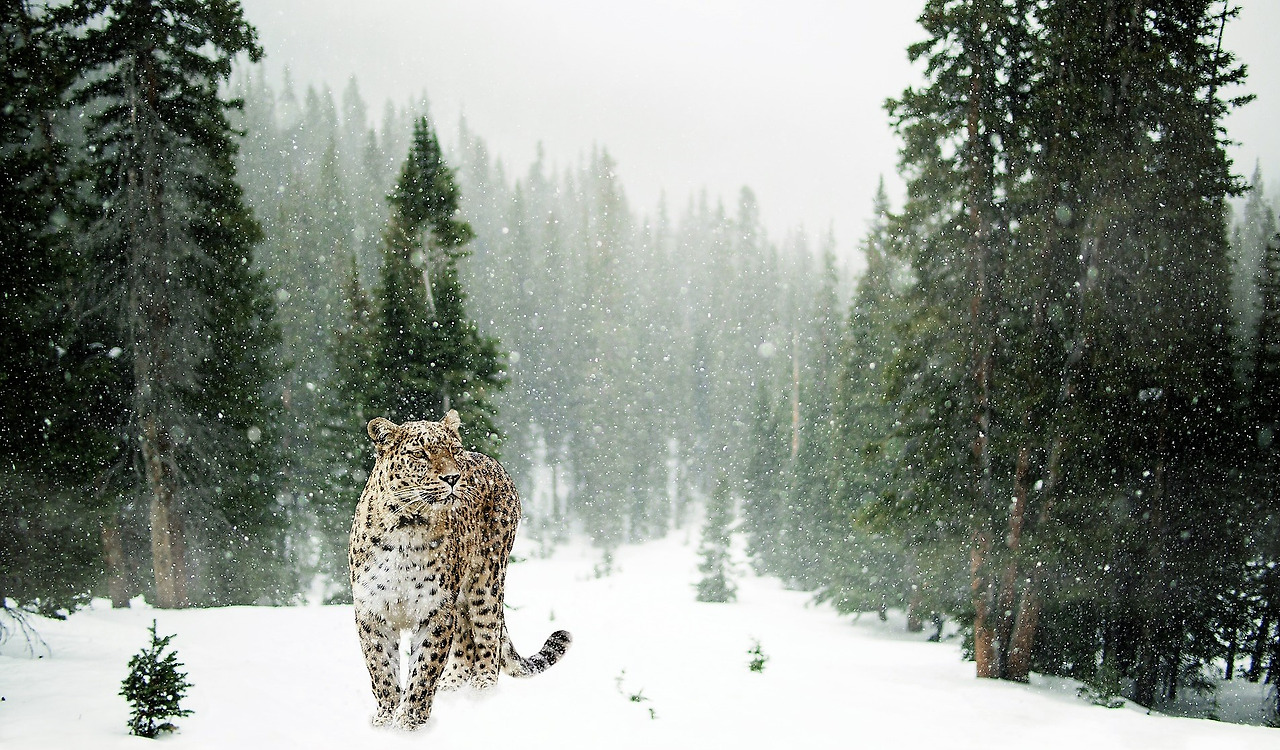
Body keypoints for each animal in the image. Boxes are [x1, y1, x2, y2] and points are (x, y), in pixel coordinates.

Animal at [348, 410, 571, 730]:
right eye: (420, 453)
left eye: (453, 450)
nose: (452, 477)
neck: (407, 527)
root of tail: (492, 461)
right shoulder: (372, 610)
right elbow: (382, 670)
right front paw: (385, 720)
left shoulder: (436, 610)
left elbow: (424, 669)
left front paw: (410, 723)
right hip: (462, 597)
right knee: (466, 641)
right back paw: (452, 687)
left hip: (486, 581)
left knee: (487, 637)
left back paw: (481, 692)